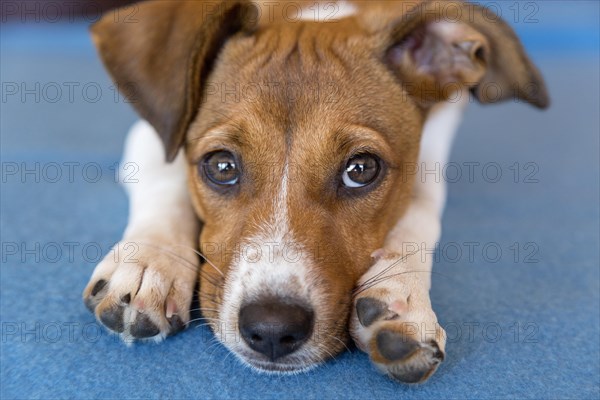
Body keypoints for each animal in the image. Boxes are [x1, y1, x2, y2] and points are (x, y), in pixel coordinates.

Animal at [83, 0, 548, 382]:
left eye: (361, 170)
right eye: (221, 166)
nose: (272, 329)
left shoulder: (433, 150)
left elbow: (420, 211)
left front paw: (401, 293)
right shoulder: (150, 137)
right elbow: (167, 180)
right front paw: (151, 263)